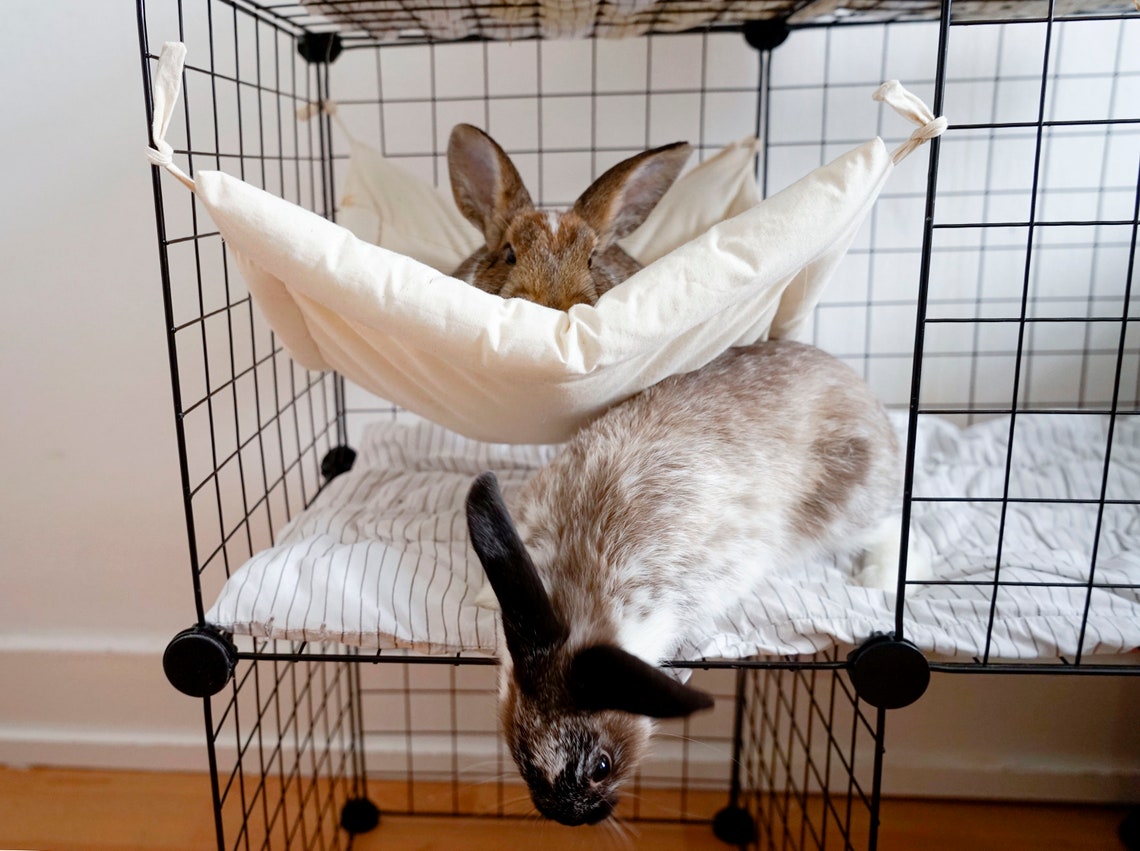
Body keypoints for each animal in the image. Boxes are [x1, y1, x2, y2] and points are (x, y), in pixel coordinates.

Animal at [465, 339, 912, 827]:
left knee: (893, 526)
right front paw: (484, 599)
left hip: (845, 506)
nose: (568, 817)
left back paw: (879, 578)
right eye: (521, 755)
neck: (580, 586)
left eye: (601, 766)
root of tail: (858, 388)